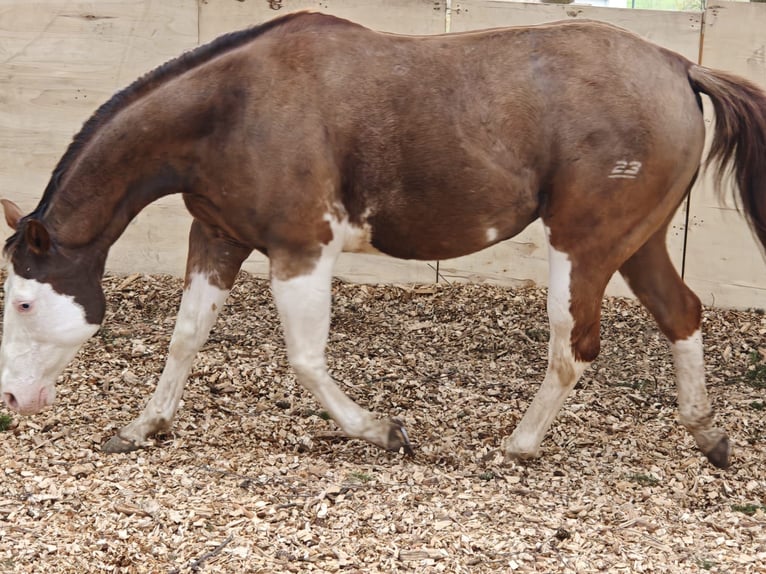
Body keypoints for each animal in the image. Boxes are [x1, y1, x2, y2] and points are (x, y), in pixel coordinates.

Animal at [2, 12, 765, 469]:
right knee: (682, 313)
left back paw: (517, 444)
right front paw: (143, 427)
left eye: (24, 303)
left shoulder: (301, 250)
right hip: (638, 241)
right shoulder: (217, 237)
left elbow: (306, 359)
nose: (11, 400)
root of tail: (678, 66)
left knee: (573, 346)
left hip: (584, 245)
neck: (235, 107)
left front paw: (381, 431)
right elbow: (186, 337)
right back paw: (708, 433)